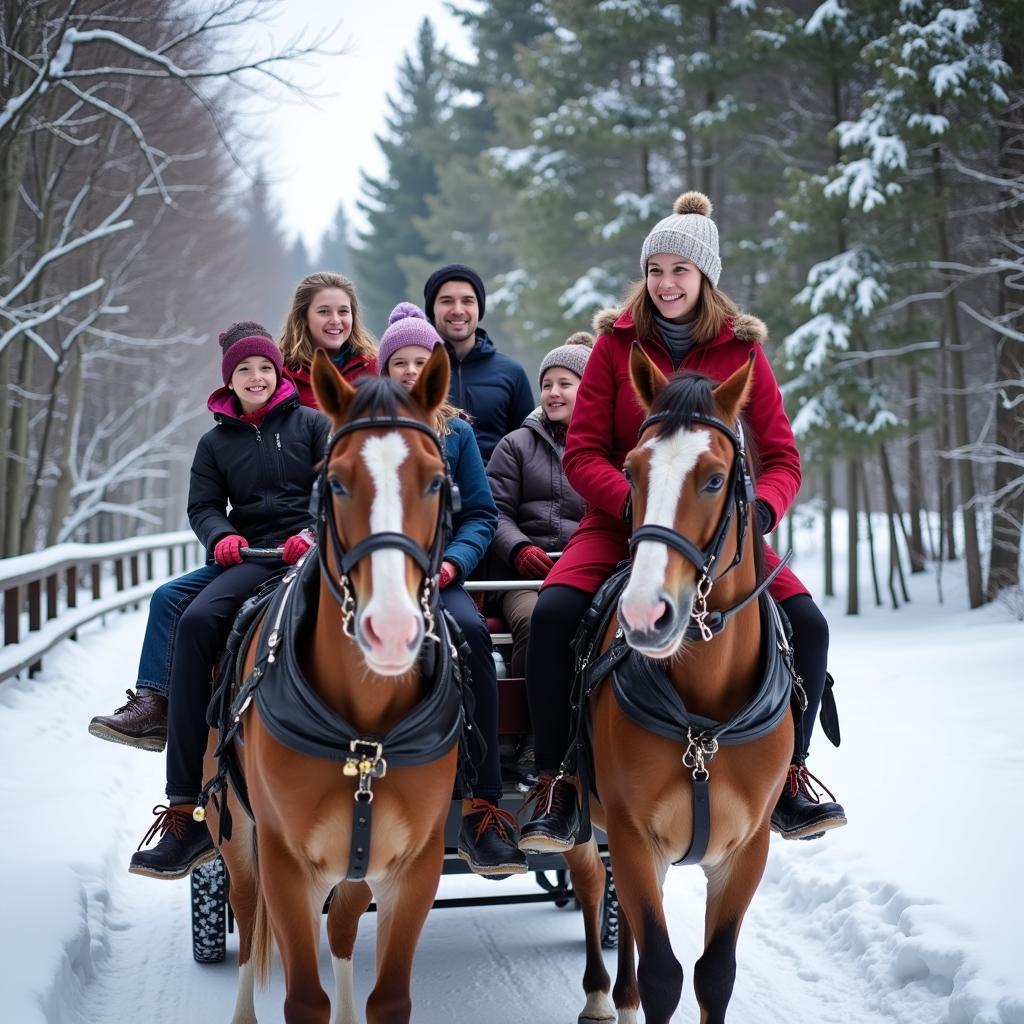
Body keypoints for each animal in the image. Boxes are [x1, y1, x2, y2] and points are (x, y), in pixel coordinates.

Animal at [205, 346, 462, 1024]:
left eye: (435, 480)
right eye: (337, 482)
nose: (392, 630)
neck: (365, 738)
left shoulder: (416, 865)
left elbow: (389, 996)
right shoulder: (285, 863)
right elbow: (303, 998)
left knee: (344, 926)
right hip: (234, 831)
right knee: (247, 915)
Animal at [565, 346, 794, 1024]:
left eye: (715, 479)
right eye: (632, 472)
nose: (645, 615)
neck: (704, 715)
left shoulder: (745, 850)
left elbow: (715, 974)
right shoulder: (634, 834)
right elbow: (666, 973)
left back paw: (622, 994)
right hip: (587, 819)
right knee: (593, 883)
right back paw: (601, 993)